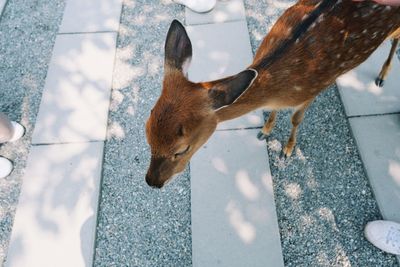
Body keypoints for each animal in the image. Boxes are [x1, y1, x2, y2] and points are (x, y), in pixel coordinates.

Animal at [145, 0, 400, 188]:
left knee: (395, 39)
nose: (152, 182)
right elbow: (275, 112)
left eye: (181, 149)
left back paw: (382, 75)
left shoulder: (315, 88)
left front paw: (287, 149)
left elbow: (296, 118)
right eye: (146, 134)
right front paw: (265, 130)